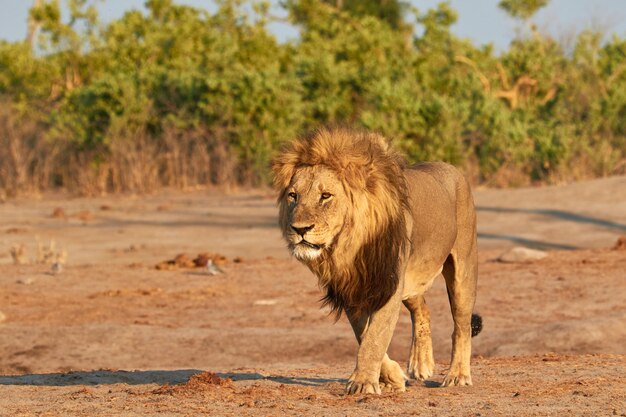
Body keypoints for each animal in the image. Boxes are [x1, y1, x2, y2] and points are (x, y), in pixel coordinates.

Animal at [270, 127, 480, 394]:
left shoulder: (389, 281)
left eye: (325, 196)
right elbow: (363, 333)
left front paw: (362, 383)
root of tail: (451, 168)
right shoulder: (351, 286)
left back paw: (457, 375)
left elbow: (376, 335)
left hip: (463, 268)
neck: (348, 245)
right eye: (293, 196)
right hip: (412, 280)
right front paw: (392, 377)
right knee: (423, 309)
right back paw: (421, 363)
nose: (299, 229)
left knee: (461, 325)